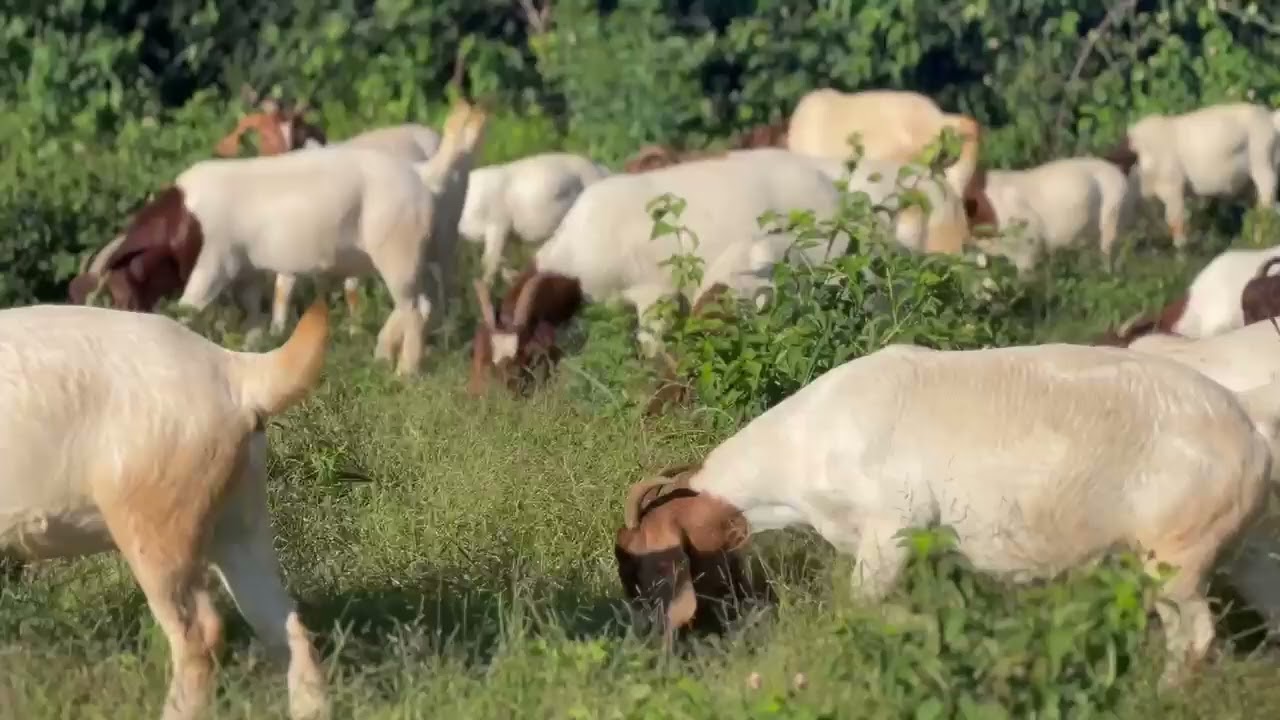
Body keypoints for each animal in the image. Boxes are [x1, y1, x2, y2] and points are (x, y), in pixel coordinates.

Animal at [459, 152, 610, 287]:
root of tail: (602, 170)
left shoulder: (497, 224)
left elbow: (490, 260)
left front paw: (488, 286)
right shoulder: (504, 233)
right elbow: (498, 259)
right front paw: (512, 279)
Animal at [614, 341, 1280, 688]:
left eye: (634, 563)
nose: (647, 637)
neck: (803, 448)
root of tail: (1250, 425)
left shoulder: (891, 528)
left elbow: (862, 606)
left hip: (1176, 552)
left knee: (1195, 635)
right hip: (1247, 549)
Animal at [1103, 102, 1280, 249]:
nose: (1105, 247)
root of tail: (1271, 118)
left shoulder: (1173, 185)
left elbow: (1175, 220)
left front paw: (1181, 249)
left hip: (1263, 164)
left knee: (1266, 205)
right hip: (1251, 182)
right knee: (1258, 208)